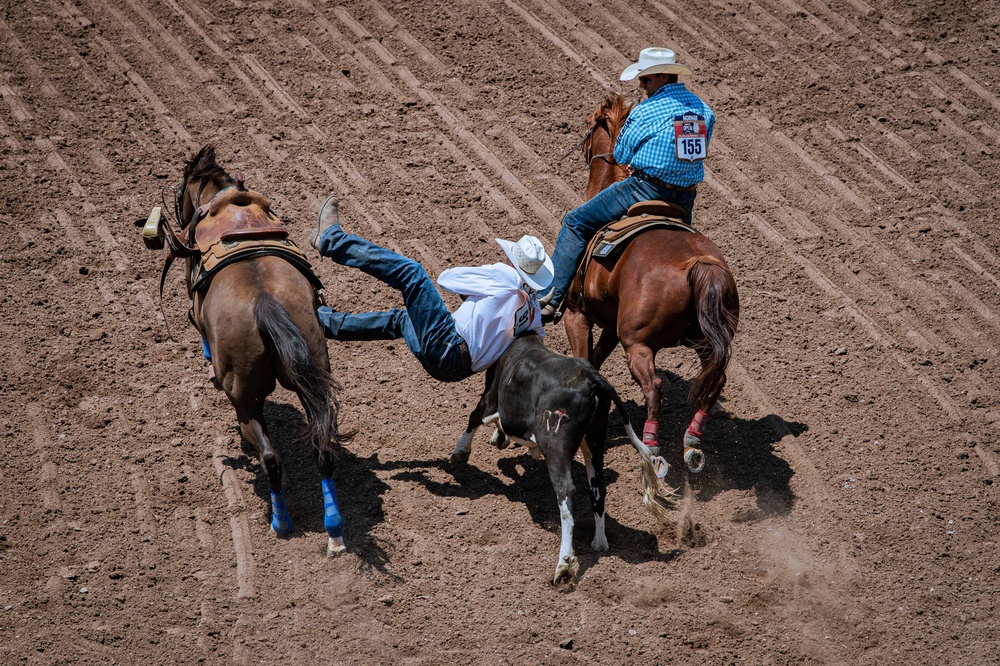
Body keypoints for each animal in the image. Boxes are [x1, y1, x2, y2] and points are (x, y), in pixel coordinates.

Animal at [138, 145, 348, 556]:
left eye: (180, 190)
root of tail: (263, 300)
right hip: (312, 375)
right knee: (322, 450)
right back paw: (334, 530)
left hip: (245, 396)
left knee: (270, 455)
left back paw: (281, 523)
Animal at [568, 96, 740, 474]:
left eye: (588, 122)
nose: (582, 145)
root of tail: (698, 264)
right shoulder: (612, 327)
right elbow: (595, 361)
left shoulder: (577, 314)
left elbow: (584, 358)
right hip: (704, 339)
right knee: (714, 379)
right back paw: (692, 443)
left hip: (639, 344)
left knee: (654, 386)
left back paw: (652, 448)